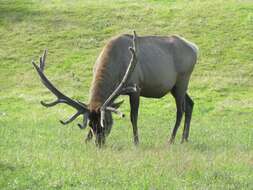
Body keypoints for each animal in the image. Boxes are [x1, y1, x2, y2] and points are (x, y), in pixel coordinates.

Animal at [32, 31, 198, 147]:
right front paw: (85, 141)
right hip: (176, 86)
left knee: (181, 110)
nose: (99, 144)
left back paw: (171, 140)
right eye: (90, 125)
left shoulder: (135, 87)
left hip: (183, 79)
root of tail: (195, 48)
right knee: (190, 104)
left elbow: (133, 116)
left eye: (106, 123)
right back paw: (184, 139)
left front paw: (136, 142)